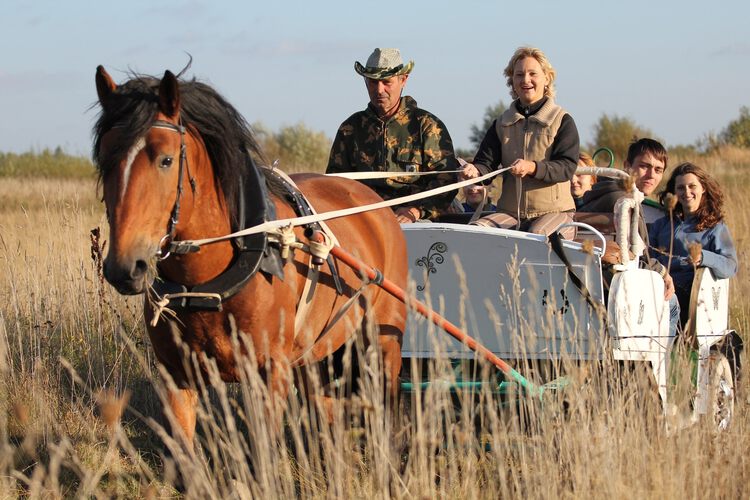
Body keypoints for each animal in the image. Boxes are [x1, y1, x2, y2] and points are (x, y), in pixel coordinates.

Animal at [94, 65, 412, 450]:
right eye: (104, 159)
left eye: (166, 159)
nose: (125, 267)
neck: (207, 282)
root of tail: (373, 201)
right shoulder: (176, 376)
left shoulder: (268, 374)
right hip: (316, 354)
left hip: (383, 341)